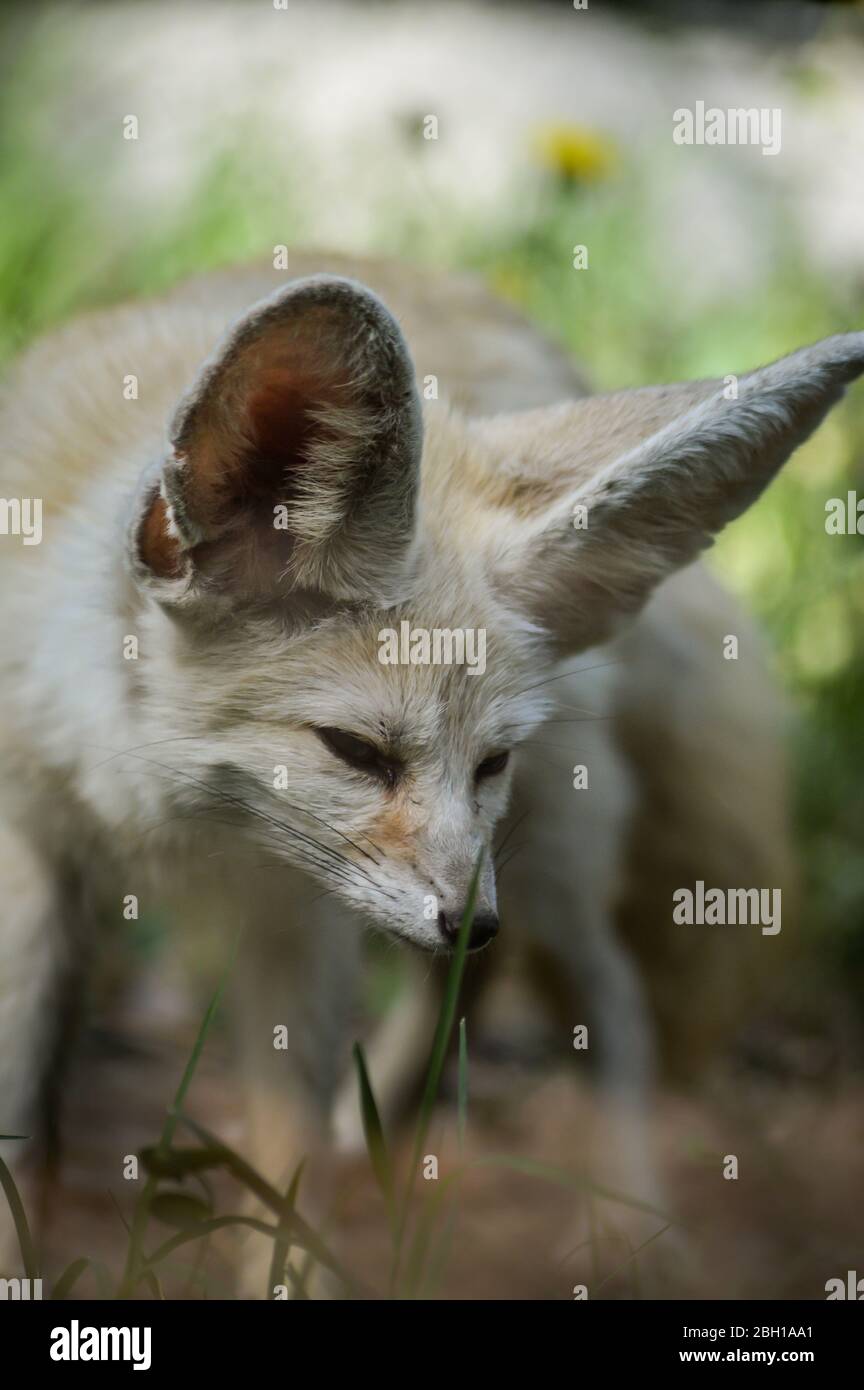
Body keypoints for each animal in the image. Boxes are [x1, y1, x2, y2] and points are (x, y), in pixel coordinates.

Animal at [0, 251, 862, 1294]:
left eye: (493, 759)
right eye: (355, 751)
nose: (471, 925)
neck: (162, 816)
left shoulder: (294, 912)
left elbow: (286, 1173)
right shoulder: (30, 852)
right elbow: (19, 1122)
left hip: (553, 856)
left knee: (610, 1007)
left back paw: (636, 1237)